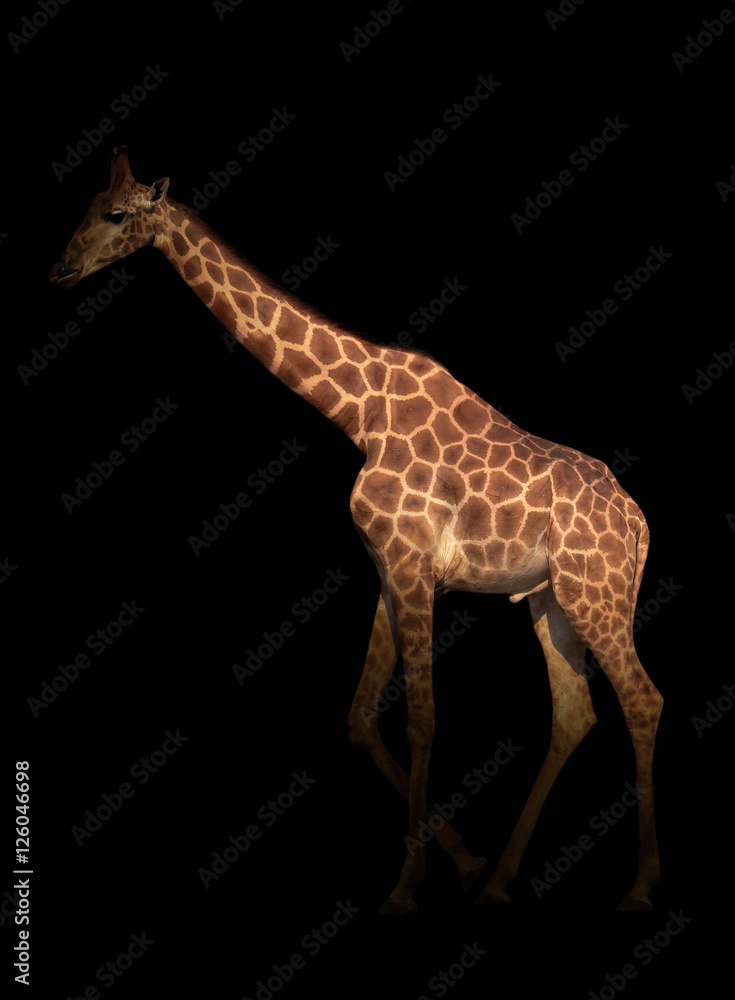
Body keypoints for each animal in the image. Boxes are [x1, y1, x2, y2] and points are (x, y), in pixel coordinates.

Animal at [50, 147, 663, 915]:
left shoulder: (411, 566)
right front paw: (464, 863)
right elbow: (359, 717)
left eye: (115, 213)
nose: (62, 269)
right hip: (551, 601)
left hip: (595, 595)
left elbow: (422, 717)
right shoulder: (388, 568)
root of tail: (638, 523)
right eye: (82, 206)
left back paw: (639, 887)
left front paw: (405, 887)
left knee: (641, 700)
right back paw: (499, 882)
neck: (359, 411)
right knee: (575, 712)